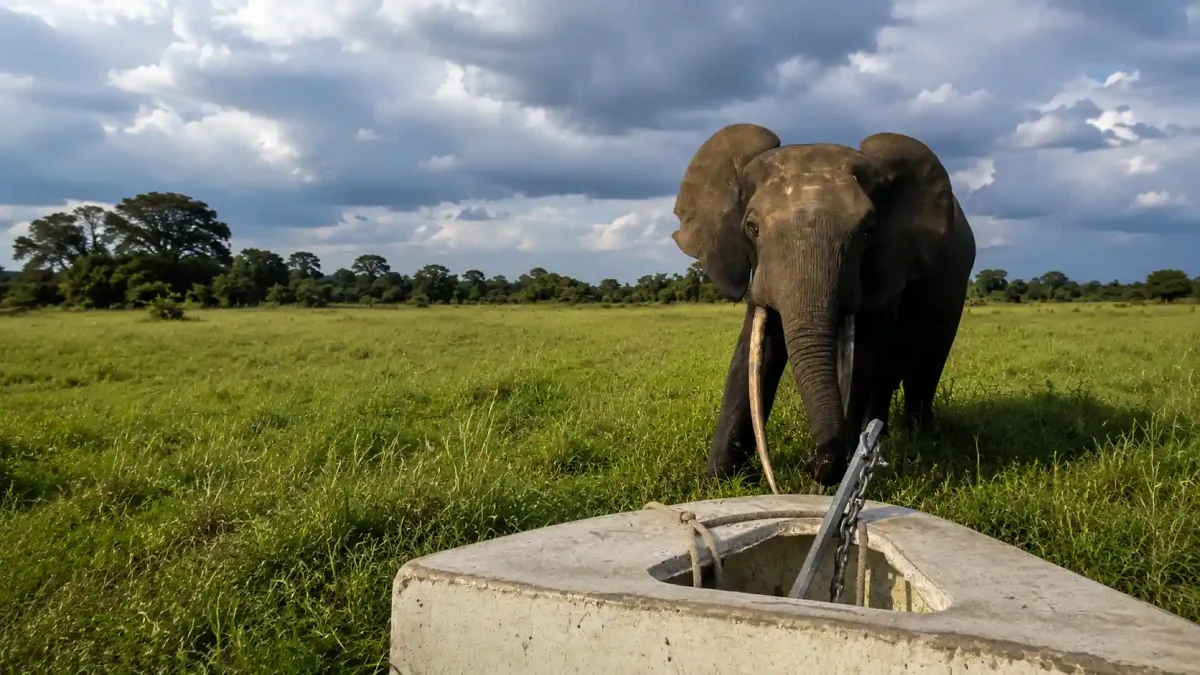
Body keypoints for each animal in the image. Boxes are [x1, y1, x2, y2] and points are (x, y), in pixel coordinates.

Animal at [670, 123, 976, 491]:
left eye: (869, 230)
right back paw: (882, 436)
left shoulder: (887, 264)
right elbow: (754, 354)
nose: (814, 464)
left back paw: (917, 440)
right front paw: (718, 483)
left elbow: (863, 356)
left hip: (953, 283)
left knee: (923, 368)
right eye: (752, 228)